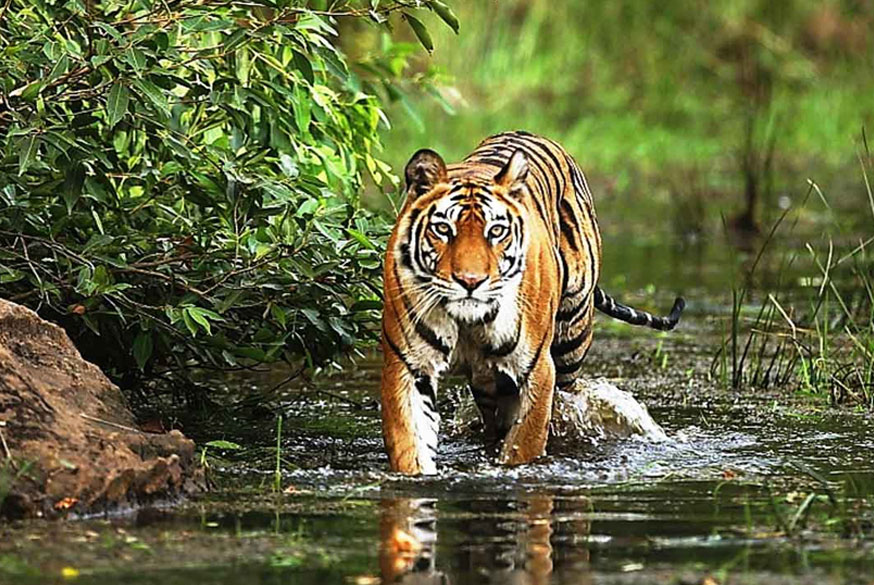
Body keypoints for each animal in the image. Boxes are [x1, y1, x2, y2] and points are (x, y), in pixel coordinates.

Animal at [381, 131, 685, 475]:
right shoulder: (408, 367)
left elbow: (524, 442)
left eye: (496, 231)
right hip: (488, 382)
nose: (470, 281)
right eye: (443, 229)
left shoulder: (536, 369)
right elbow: (409, 442)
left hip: (571, 343)